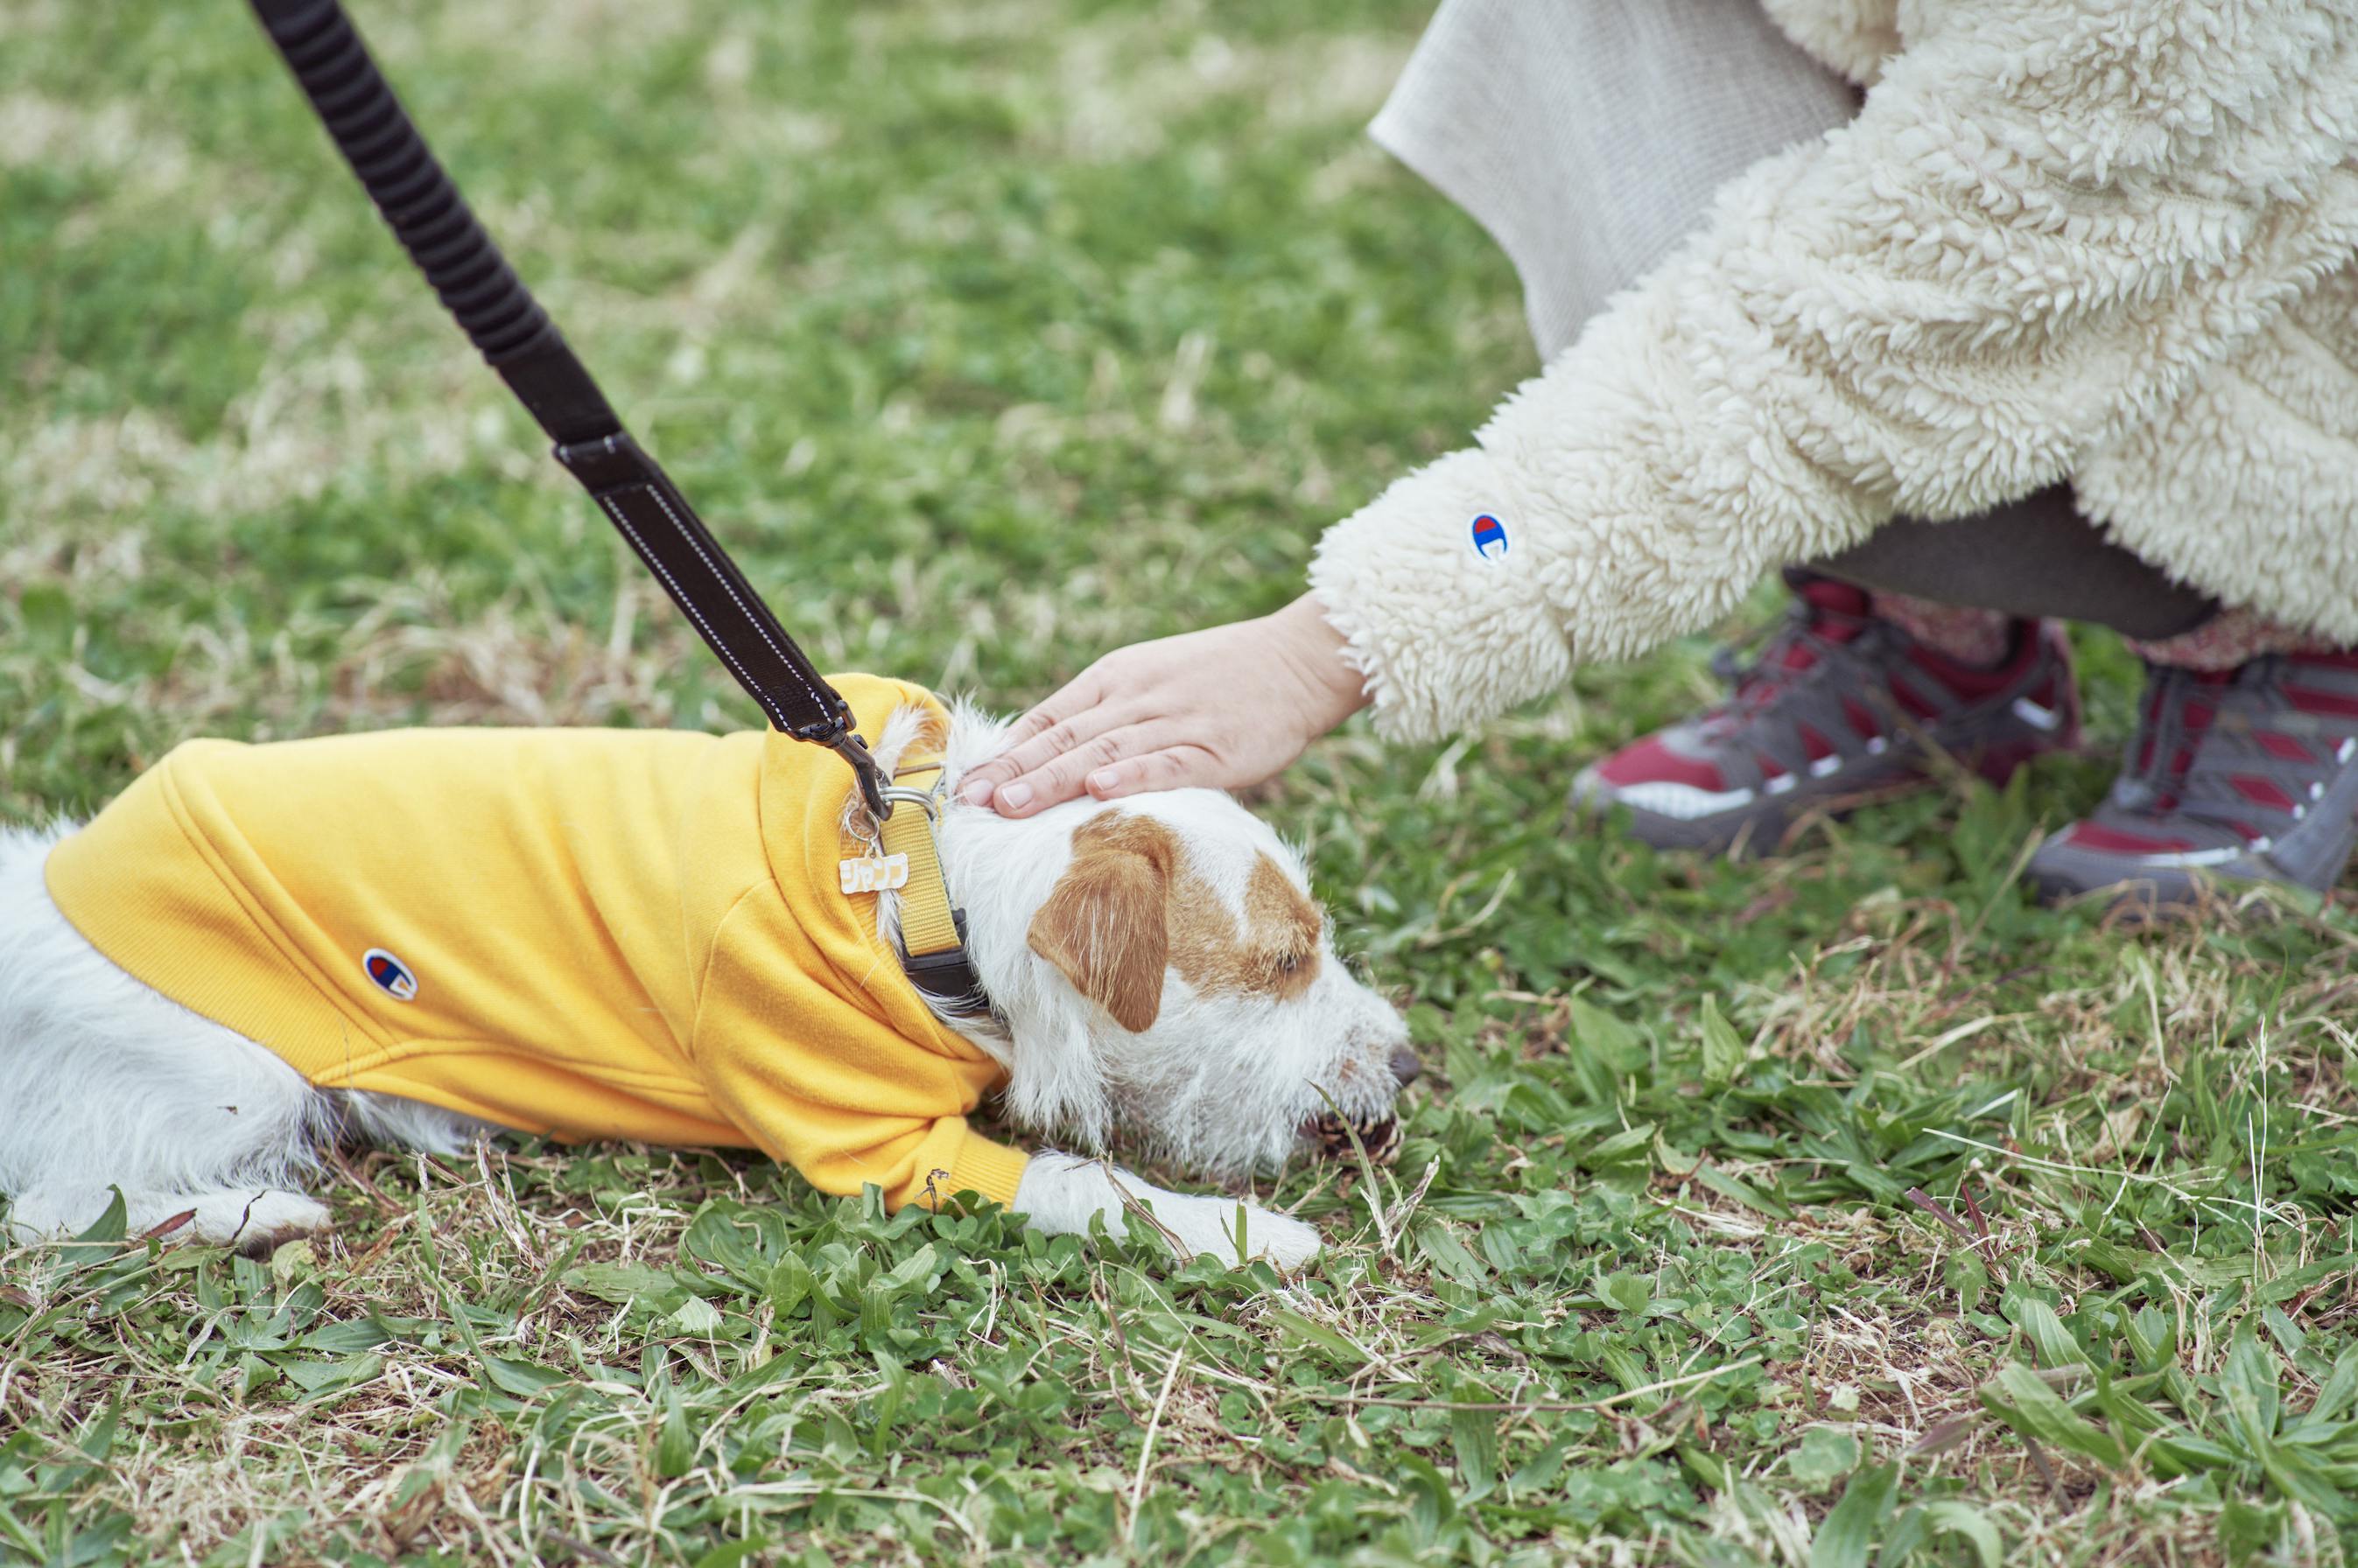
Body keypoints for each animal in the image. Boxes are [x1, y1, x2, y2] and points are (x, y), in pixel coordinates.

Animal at [0, 688, 1405, 1273]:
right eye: (1284, 961)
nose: (1404, 1064)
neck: (920, 889)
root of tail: (42, 885)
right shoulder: (886, 1156)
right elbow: (1083, 1183)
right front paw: (1250, 1236)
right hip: (231, 1074)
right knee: (58, 1205)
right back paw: (251, 1215)